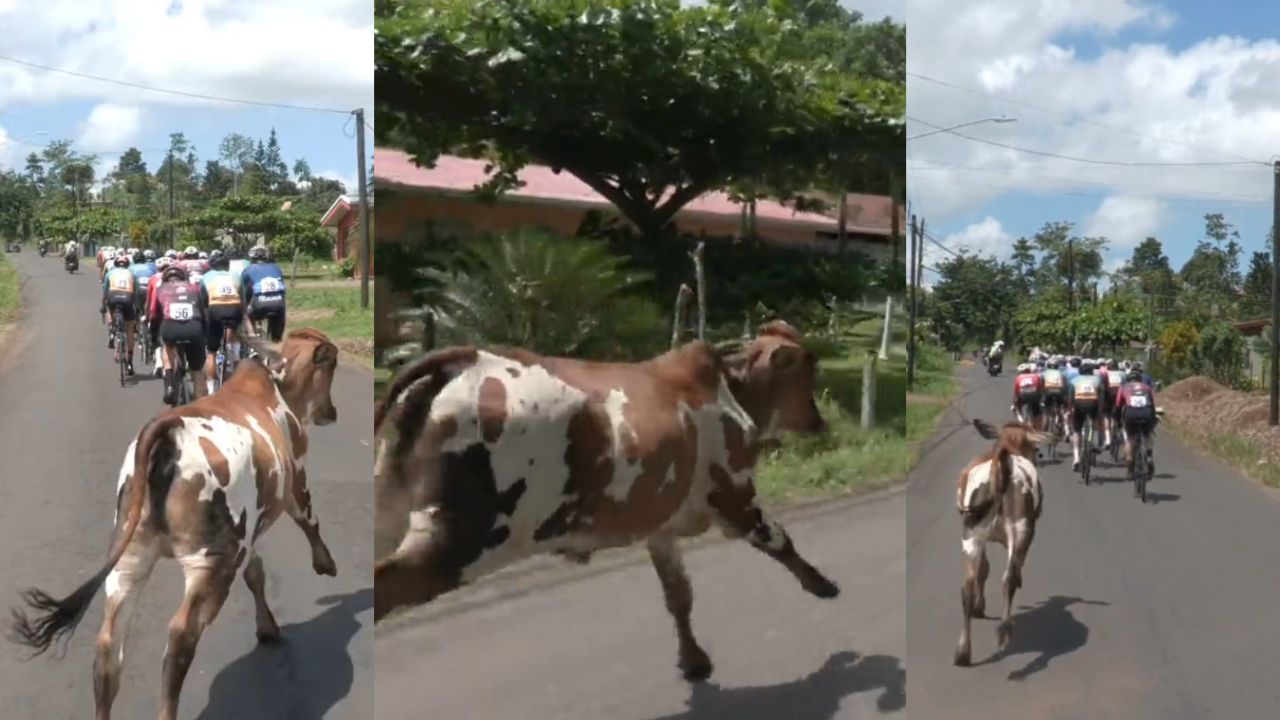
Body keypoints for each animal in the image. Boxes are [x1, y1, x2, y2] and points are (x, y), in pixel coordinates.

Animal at [6, 326, 345, 717]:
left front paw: (267, 627)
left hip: (130, 558)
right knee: (180, 636)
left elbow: (257, 574)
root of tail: (167, 431)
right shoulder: (294, 482)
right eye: (330, 366)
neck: (276, 388)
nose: (331, 411)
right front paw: (325, 563)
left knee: (108, 646)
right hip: (212, 562)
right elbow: (308, 520)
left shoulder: (248, 533)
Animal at [373, 319, 834, 676]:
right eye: (807, 373)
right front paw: (822, 584)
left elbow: (678, 596)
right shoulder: (735, 495)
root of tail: (464, 359)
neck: (729, 390)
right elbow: (778, 539)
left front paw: (693, 660)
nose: (819, 420)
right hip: (462, 539)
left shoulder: (659, 526)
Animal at [952, 417, 1049, 666]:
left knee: (967, 587)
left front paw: (980, 607)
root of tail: (1002, 465)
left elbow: (983, 570)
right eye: (1034, 447)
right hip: (1022, 529)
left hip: (971, 534)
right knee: (1009, 578)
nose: (1038, 455)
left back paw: (963, 652)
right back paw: (1004, 629)